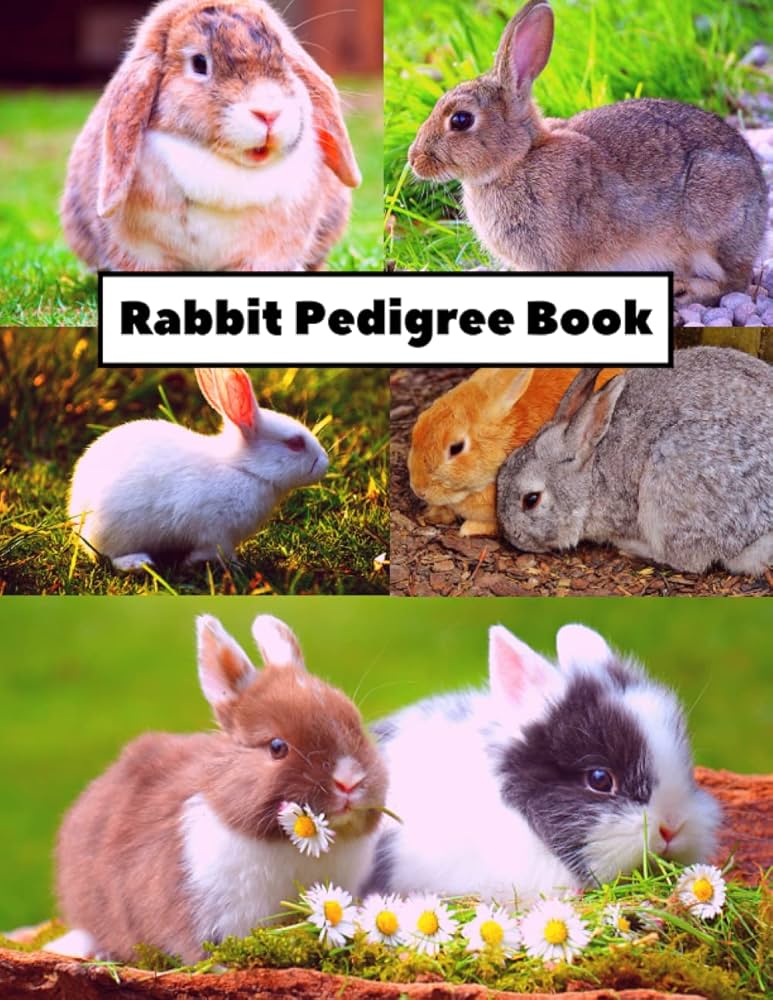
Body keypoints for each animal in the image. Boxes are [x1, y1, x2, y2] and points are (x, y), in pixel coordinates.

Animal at [68, 367, 329, 573]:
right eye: (295, 443)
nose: (325, 463)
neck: (243, 469)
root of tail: (76, 510)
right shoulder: (216, 533)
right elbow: (216, 552)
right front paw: (226, 565)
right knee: (110, 556)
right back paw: (138, 563)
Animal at [408, 0, 766, 304]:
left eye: (461, 120)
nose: (414, 160)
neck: (519, 159)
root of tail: (761, 205)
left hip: (710, 220)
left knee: (733, 283)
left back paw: (685, 291)